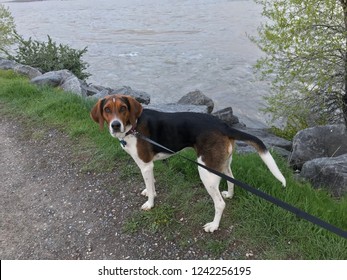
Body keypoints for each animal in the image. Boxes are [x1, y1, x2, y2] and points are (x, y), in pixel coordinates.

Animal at [91, 94, 286, 232]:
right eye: (107, 109)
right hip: (222, 164)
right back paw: (230, 195)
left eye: (123, 108)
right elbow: (151, 183)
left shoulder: (145, 165)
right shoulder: (149, 166)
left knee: (220, 203)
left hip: (207, 172)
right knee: (231, 179)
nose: (115, 125)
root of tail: (224, 125)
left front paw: (150, 203)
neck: (133, 126)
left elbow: (151, 189)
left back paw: (214, 226)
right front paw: (149, 189)